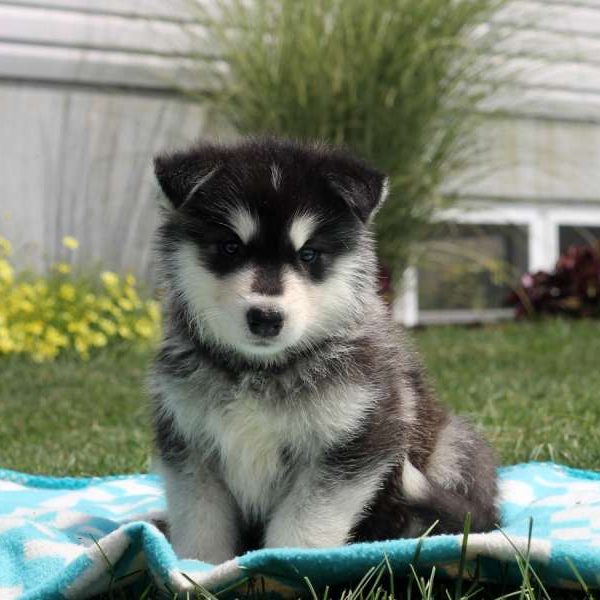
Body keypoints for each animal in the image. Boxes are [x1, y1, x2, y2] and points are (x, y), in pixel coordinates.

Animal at [149, 136, 496, 564]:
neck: (262, 370)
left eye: (309, 254)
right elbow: (200, 523)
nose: (266, 317)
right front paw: (198, 568)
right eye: (230, 247)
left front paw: (285, 564)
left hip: (455, 446)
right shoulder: (189, 443)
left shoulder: (355, 438)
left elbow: (303, 526)